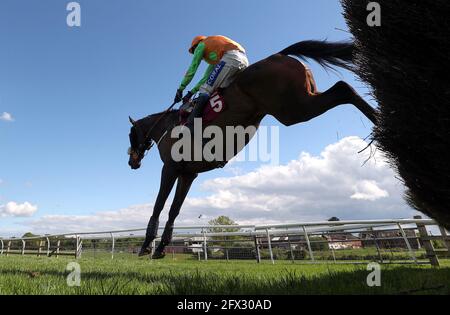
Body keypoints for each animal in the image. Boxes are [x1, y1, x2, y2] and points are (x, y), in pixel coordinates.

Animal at [126, 40, 376, 260]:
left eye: (130, 134)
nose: (132, 162)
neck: (166, 126)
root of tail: (278, 55)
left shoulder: (170, 168)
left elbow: (159, 205)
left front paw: (146, 245)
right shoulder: (188, 174)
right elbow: (174, 210)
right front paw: (160, 248)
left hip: (292, 108)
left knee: (343, 88)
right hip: (301, 101)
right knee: (344, 88)